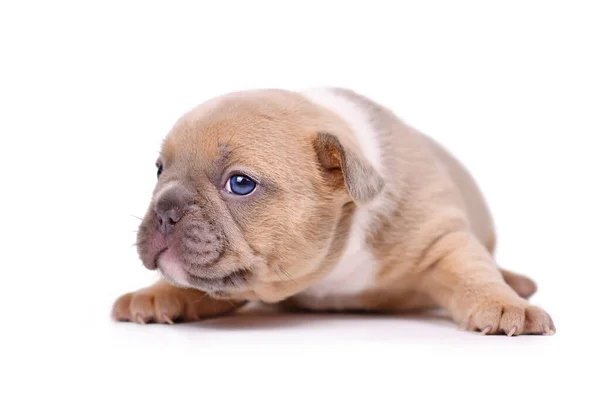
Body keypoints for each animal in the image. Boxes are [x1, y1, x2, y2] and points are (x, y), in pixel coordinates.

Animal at [111, 86, 552, 334]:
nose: (165, 208)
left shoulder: (441, 239)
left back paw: (516, 284)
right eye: (159, 170)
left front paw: (504, 304)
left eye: (240, 183)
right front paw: (156, 294)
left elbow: (472, 271)